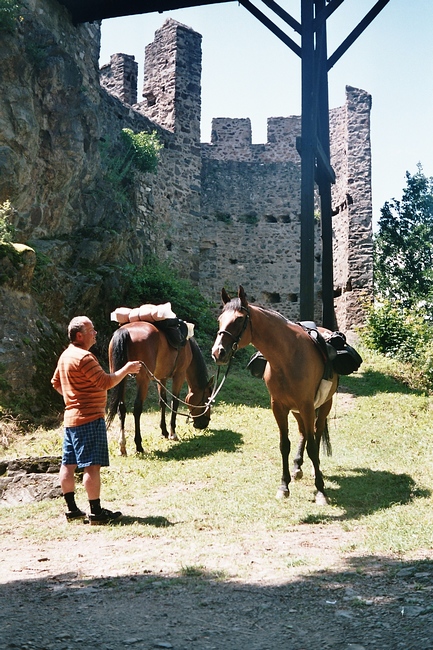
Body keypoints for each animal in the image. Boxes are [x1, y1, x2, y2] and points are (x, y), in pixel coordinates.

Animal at [105, 320, 213, 454]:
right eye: (207, 400)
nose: (204, 424)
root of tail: (125, 331)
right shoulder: (179, 375)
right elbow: (174, 402)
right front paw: (173, 433)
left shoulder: (161, 378)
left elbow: (163, 402)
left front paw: (164, 431)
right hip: (143, 380)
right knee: (137, 409)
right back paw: (139, 445)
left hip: (120, 377)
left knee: (121, 408)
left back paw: (122, 446)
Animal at [209, 286, 338, 504]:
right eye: (219, 319)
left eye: (239, 320)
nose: (218, 352)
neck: (287, 356)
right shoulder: (279, 406)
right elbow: (284, 445)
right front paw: (284, 485)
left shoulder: (306, 405)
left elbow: (313, 446)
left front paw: (320, 490)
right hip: (297, 410)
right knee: (303, 432)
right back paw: (297, 467)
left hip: (322, 405)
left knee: (316, 433)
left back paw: (315, 469)